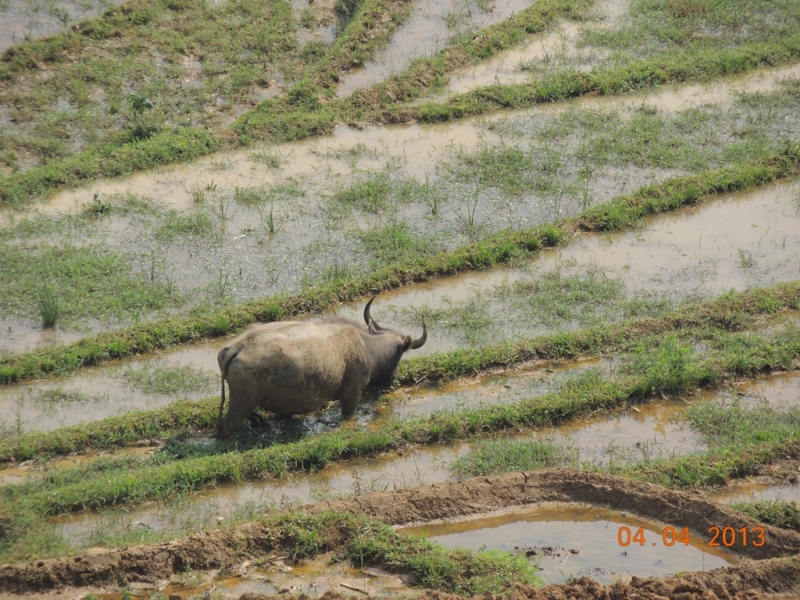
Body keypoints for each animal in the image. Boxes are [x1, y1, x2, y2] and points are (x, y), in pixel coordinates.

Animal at [212, 296, 424, 436]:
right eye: (400, 353)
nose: (390, 380)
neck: (367, 346)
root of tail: (236, 347)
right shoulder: (352, 391)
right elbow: (348, 413)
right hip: (241, 402)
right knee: (229, 426)